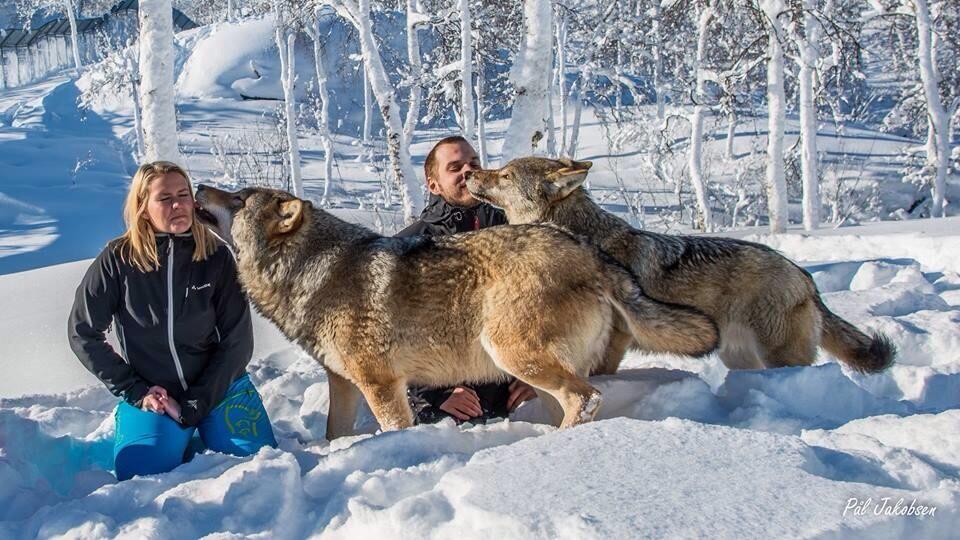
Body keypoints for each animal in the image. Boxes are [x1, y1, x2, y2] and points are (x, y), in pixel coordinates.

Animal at [197, 186, 720, 438]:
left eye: (239, 197)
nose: (199, 185)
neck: (310, 269)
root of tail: (590, 251)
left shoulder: (381, 385)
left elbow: (393, 430)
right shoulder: (343, 383)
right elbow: (333, 434)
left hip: (513, 354)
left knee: (586, 399)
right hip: (532, 369)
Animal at [464, 158, 892, 374]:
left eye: (504, 174)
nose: (468, 172)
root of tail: (804, 277)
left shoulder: (615, 340)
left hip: (779, 355)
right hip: (740, 357)